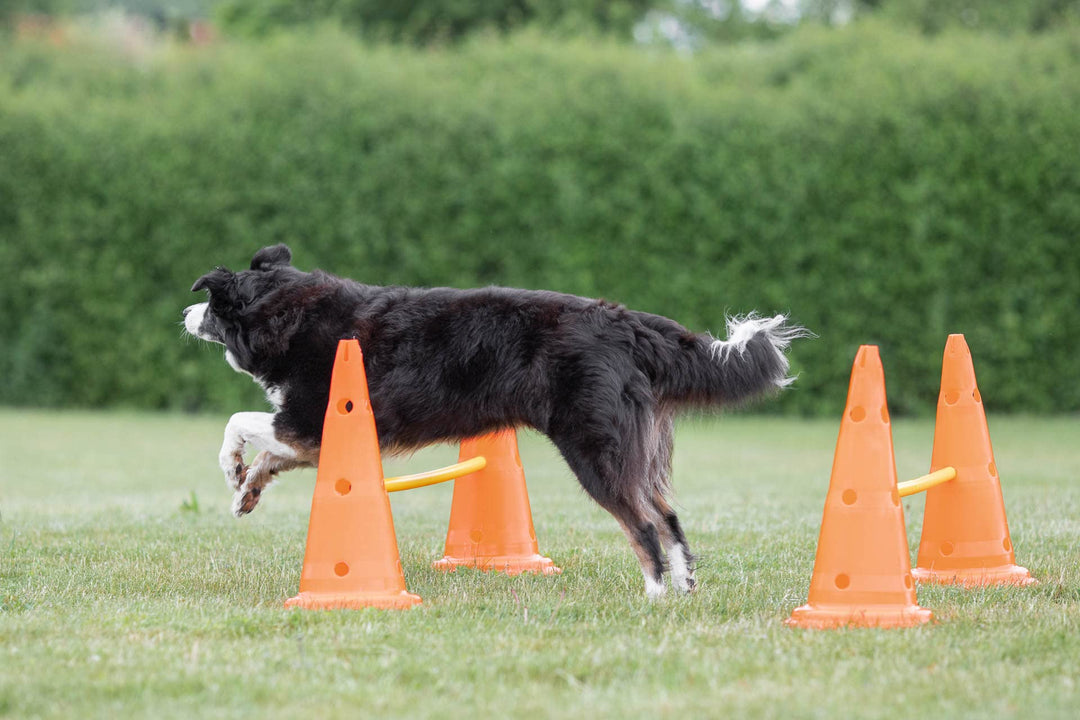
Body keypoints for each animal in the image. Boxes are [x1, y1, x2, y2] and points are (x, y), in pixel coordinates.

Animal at [185, 245, 807, 600]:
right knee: (669, 516)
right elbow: (270, 453)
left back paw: (654, 596)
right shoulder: (316, 436)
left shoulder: (313, 418)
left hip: (593, 450)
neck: (284, 311)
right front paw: (247, 489)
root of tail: (622, 321)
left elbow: (239, 424)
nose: (186, 313)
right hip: (631, 451)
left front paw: (233, 468)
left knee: (643, 524)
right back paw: (683, 589)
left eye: (210, 306)